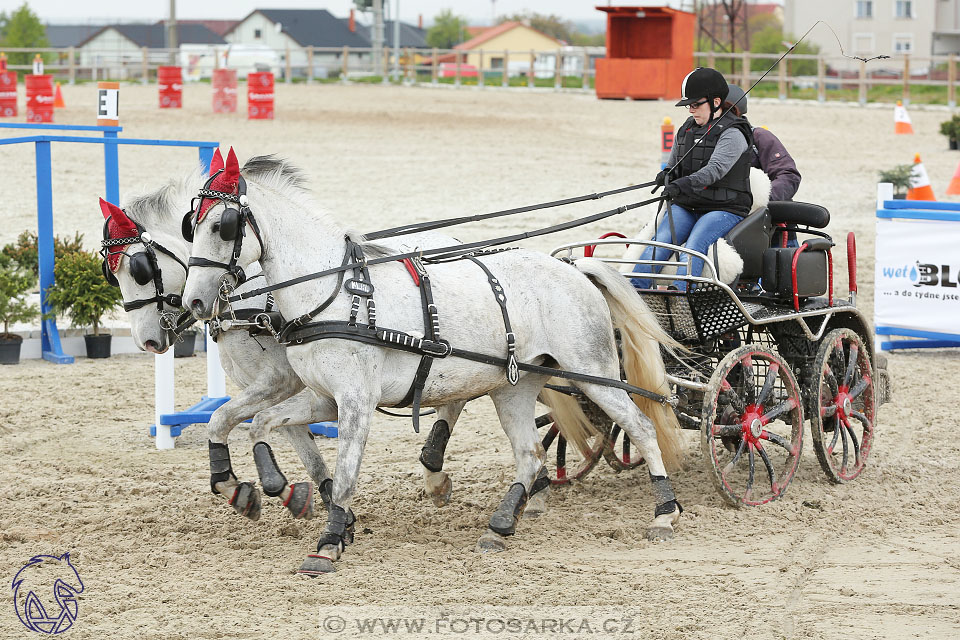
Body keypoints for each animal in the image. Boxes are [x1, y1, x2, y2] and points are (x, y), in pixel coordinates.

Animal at [184, 150, 688, 576]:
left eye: (223, 225)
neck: (335, 293)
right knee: (531, 454)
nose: (193, 301)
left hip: (595, 374)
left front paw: (327, 544)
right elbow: (255, 423)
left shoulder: (355, 402)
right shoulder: (325, 399)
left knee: (641, 427)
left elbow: (344, 476)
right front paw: (254, 487)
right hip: (515, 387)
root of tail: (572, 267)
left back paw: (664, 515)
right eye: (192, 224)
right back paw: (499, 526)